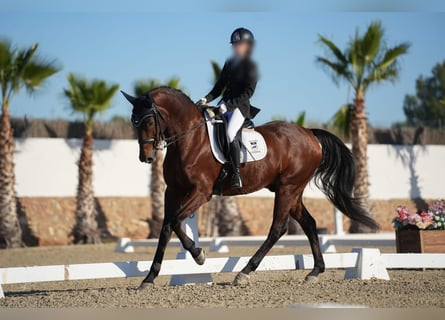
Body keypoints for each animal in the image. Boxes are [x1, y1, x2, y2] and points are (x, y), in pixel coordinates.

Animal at [121, 87, 378, 288]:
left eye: (149, 120)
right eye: (134, 122)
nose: (145, 157)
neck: (189, 140)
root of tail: (310, 134)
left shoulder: (201, 192)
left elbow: (175, 221)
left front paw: (199, 255)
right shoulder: (172, 191)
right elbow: (166, 228)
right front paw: (149, 278)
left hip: (288, 188)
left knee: (278, 228)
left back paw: (244, 273)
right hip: (293, 191)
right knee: (309, 223)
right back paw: (315, 272)